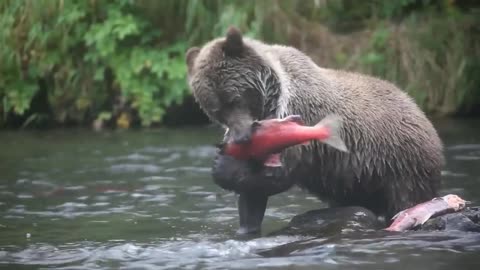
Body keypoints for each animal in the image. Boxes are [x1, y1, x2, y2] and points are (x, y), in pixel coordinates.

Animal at [186, 26, 444, 235]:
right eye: (215, 110)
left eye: (233, 99)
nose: (241, 138)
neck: (273, 99)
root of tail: (420, 110)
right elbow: (252, 196)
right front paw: (246, 226)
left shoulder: (299, 121)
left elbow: (277, 176)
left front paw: (222, 167)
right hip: (360, 178)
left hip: (399, 163)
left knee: (406, 197)